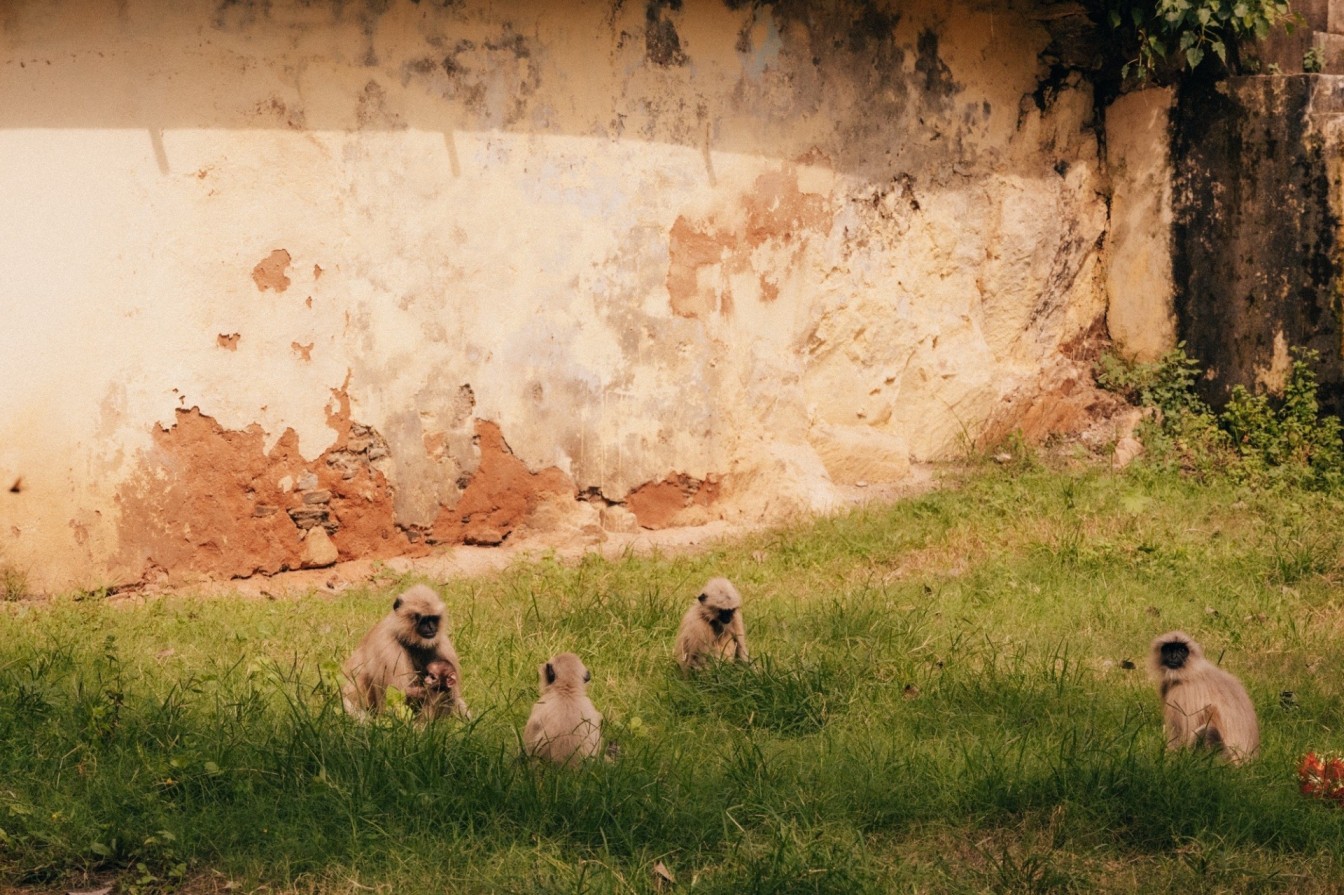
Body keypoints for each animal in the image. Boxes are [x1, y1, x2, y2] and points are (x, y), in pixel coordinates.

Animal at [342, 584, 469, 721]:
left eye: (433, 619)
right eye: (423, 619)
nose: (431, 627)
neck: (412, 643)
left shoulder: (441, 644)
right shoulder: (389, 649)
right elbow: (397, 697)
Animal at [1149, 630, 1259, 765]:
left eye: (1181, 650)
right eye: (1169, 649)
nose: (1173, 657)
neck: (1191, 672)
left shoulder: (1182, 693)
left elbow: (1179, 740)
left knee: (1207, 731)